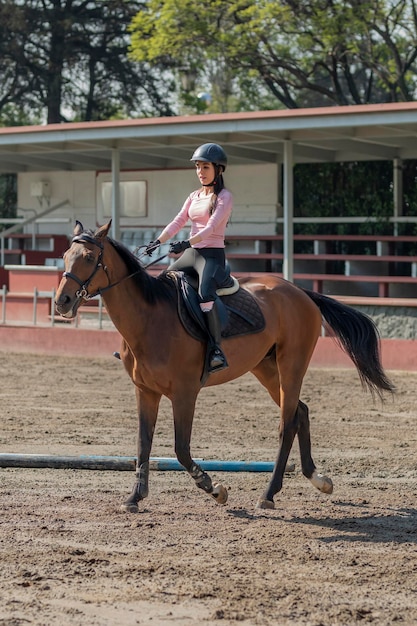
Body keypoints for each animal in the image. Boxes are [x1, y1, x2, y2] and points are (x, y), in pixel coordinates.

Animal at [54, 222, 394, 510]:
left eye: (88, 257)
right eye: (65, 256)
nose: (62, 301)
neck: (149, 320)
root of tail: (301, 292)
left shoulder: (185, 393)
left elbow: (180, 448)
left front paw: (214, 488)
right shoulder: (145, 391)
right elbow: (142, 444)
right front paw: (135, 497)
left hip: (291, 365)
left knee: (287, 424)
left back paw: (268, 494)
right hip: (266, 369)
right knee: (301, 411)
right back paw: (317, 479)